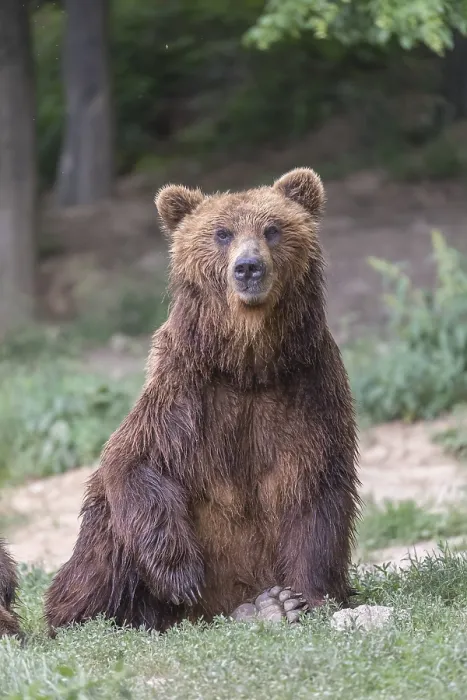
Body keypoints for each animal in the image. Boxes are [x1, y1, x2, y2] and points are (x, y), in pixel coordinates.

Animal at [45, 167, 360, 633]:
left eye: (272, 228)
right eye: (222, 233)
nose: (248, 268)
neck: (249, 365)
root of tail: (208, 616)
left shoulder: (308, 389)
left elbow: (315, 493)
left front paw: (307, 596)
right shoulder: (186, 393)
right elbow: (136, 460)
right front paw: (182, 575)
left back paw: (266, 605)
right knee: (104, 546)